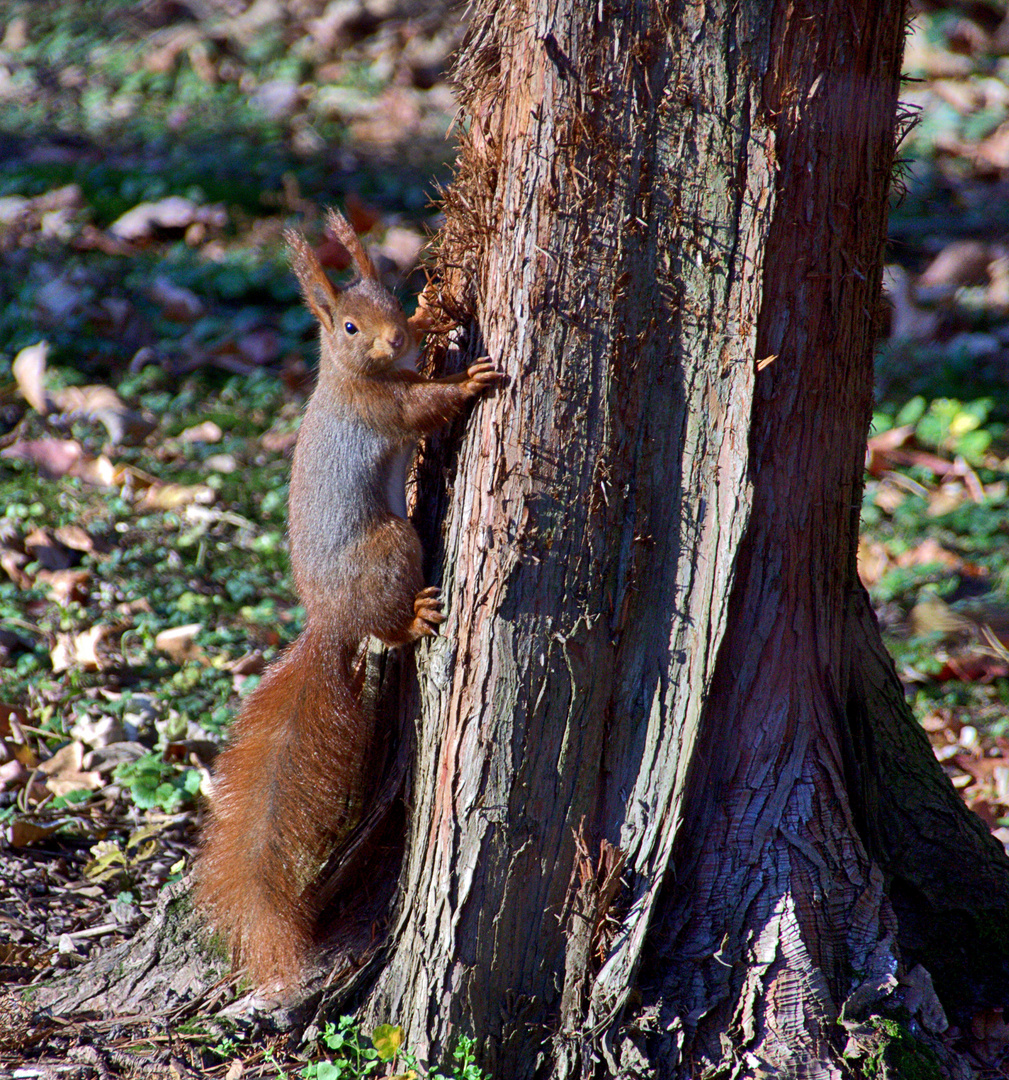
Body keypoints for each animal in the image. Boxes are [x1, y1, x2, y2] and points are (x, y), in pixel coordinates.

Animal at [194, 208, 501, 989]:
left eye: (391, 299)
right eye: (350, 327)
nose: (395, 337)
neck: (353, 372)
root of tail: (330, 619)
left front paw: (434, 315)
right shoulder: (384, 408)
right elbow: (423, 407)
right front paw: (470, 377)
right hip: (391, 543)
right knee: (388, 628)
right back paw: (415, 617)